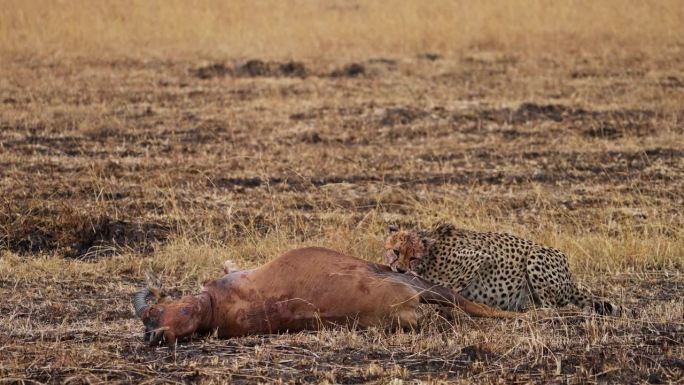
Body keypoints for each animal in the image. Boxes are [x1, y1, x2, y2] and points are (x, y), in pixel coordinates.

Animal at [384, 224, 620, 314]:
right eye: (396, 251)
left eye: (413, 257)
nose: (401, 270)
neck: (430, 255)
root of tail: (570, 279)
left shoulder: (479, 257)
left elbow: (448, 285)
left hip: (536, 256)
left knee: (552, 308)